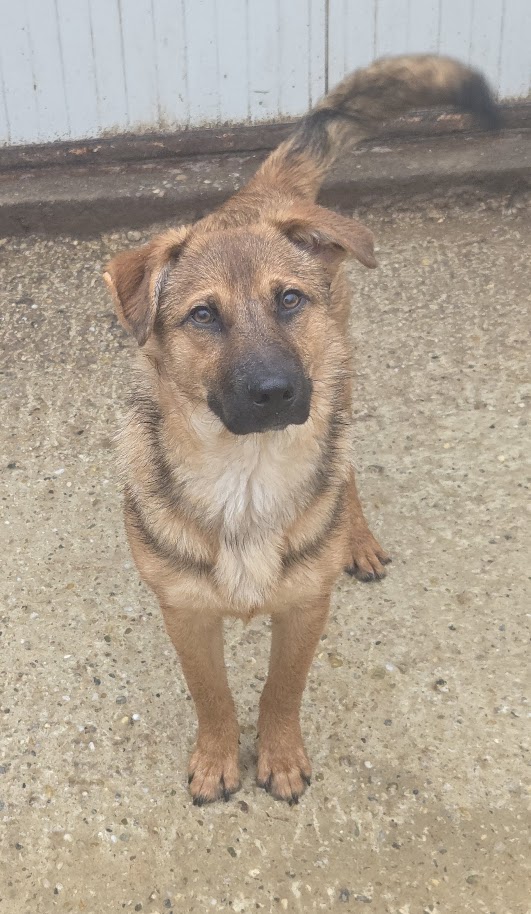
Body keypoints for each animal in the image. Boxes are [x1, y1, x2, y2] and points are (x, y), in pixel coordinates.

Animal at [104, 55, 498, 804]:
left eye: (288, 299)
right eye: (203, 316)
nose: (274, 393)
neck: (246, 474)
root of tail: (261, 197)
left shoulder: (306, 609)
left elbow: (281, 691)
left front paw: (279, 756)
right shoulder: (185, 613)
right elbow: (213, 696)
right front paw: (219, 757)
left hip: (341, 377)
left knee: (346, 465)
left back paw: (357, 537)